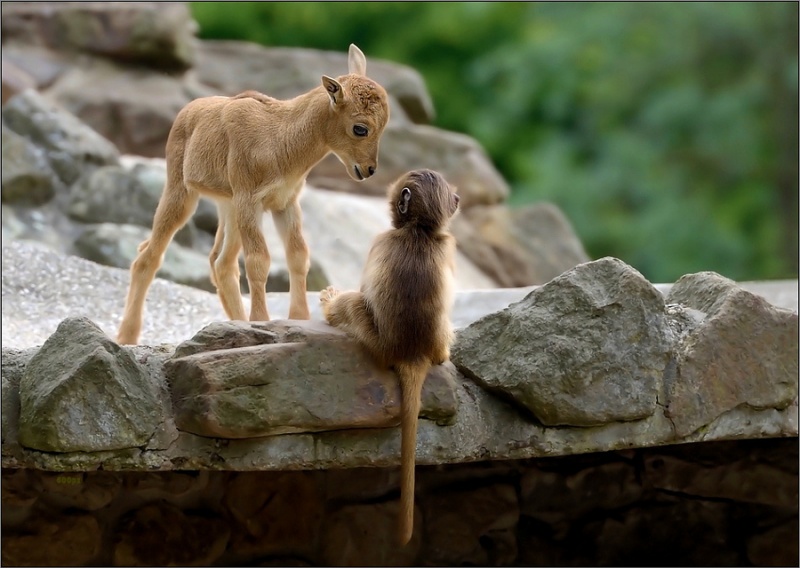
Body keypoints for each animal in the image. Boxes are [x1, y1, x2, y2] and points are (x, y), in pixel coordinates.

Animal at [118, 44, 390, 344]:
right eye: (360, 128)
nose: (368, 169)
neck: (281, 140)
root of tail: (186, 112)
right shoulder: (250, 200)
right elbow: (259, 261)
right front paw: (261, 320)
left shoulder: (285, 203)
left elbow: (298, 256)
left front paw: (298, 318)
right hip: (182, 192)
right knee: (149, 256)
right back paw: (127, 336)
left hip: (228, 206)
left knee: (220, 263)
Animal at [318, 168, 456, 544]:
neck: (418, 230)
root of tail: (411, 353)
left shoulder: (381, 240)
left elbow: (365, 290)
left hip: (374, 341)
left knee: (354, 302)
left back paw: (332, 306)